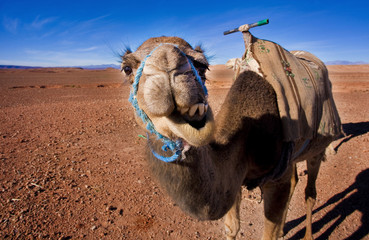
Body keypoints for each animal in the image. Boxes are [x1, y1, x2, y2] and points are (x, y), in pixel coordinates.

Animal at [121, 33, 342, 238]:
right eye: (127, 68)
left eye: (202, 66)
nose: (167, 61)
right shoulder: (235, 177)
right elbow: (231, 227)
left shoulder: (276, 180)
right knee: (295, 179)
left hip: (317, 148)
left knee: (310, 192)